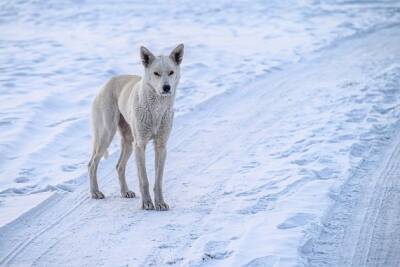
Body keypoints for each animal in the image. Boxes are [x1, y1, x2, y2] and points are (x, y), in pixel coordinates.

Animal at [87, 44, 184, 211]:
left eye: (171, 72)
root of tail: (106, 83)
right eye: (156, 73)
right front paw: (147, 203)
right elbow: (144, 179)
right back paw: (95, 193)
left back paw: (125, 191)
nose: (166, 87)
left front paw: (160, 203)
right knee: (91, 164)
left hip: (128, 142)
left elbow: (158, 181)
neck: (156, 109)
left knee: (119, 166)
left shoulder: (161, 146)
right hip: (106, 135)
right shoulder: (140, 145)